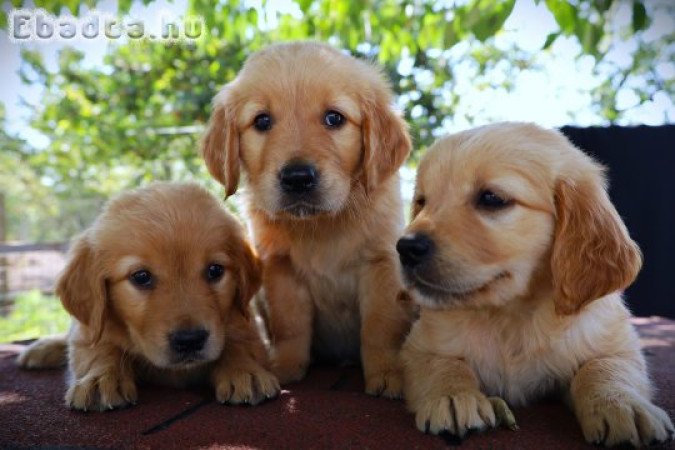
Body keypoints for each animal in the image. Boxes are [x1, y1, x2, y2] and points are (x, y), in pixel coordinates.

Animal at [17, 183, 280, 412]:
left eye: (215, 271)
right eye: (141, 277)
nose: (189, 340)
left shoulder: (246, 321)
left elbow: (240, 343)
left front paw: (244, 370)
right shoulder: (91, 329)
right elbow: (98, 348)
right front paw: (100, 379)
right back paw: (43, 348)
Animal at [201, 40, 412, 396]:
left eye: (334, 118)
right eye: (261, 121)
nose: (297, 178)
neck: (320, 225)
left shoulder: (381, 263)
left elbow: (380, 326)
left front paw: (389, 372)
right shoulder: (281, 268)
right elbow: (290, 325)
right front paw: (285, 367)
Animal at [398, 120, 672, 446]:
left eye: (491, 198)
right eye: (422, 202)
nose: (405, 248)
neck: (510, 316)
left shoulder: (617, 345)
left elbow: (603, 366)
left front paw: (622, 404)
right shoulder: (418, 346)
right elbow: (442, 363)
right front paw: (453, 396)